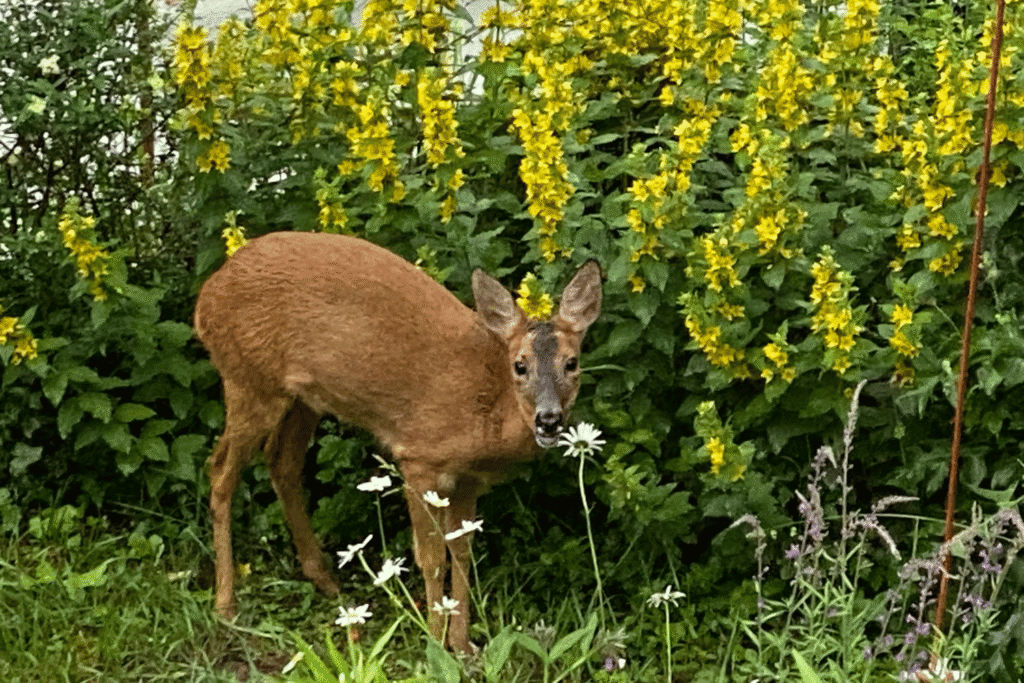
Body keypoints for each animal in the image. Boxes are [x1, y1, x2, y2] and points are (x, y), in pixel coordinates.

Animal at [193, 231, 602, 653]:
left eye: (572, 363)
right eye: (520, 366)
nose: (549, 419)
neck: (489, 408)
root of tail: (206, 298)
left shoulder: (468, 479)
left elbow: (462, 552)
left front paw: (464, 646)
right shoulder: (419, 458)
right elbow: (432, 558)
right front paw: (435, 646)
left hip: (304, 397)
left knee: (281, 461)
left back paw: (325, 580)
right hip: (248, 378)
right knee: (220, 469)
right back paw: (225, 604)